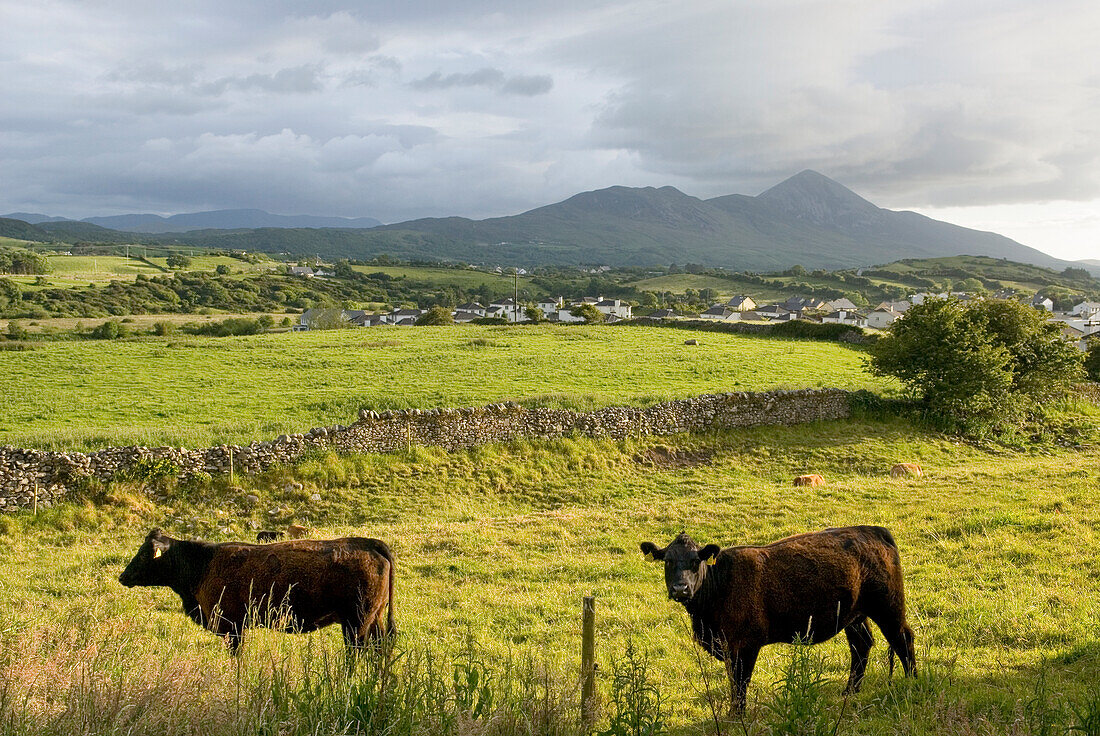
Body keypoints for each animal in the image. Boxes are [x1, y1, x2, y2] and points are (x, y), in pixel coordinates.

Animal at [642, 525, 915, 708]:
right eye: (667, 561)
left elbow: (740, 683)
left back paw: (912, 682)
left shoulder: (745, 646)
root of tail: (874, 530)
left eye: (695, 561)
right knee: (861, 645)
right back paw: (849, 692)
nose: (680, 589)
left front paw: (736, 716)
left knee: (903, 639)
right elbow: (734, 682)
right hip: (854, 616)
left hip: (888, 607)